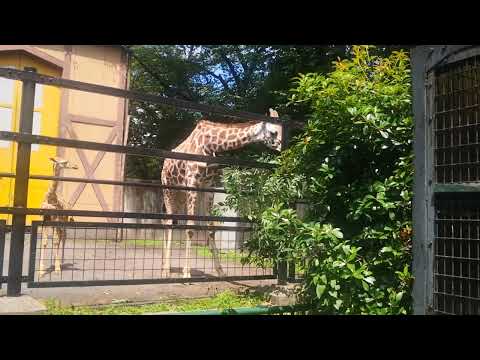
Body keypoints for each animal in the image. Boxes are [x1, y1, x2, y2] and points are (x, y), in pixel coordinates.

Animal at [161, 108, 282, 278]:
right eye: (273, 132)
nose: (283, 149)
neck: (211, 145)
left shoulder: (208, 186)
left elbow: (211, 227)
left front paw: (220, 271)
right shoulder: (192, 183)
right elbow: (190, 227)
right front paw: (186, 273)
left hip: (180, 194)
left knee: (168, 220)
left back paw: (164, 266)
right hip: (168, 189)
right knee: (168, 222)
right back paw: (165, 269)